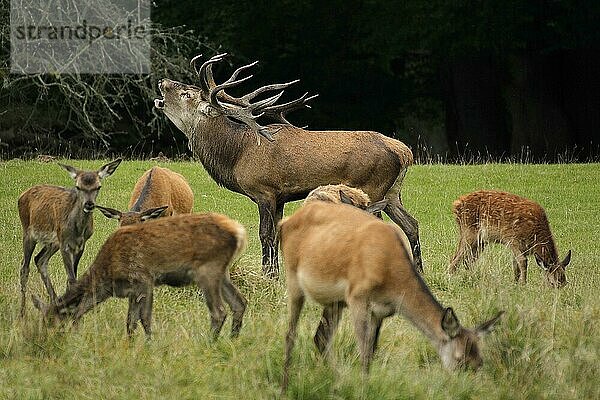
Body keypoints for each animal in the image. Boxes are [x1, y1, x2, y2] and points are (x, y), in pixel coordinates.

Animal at [17, 159, 121, 316]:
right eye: (78, 187)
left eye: (98, 186)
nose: (89, 204)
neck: (77, 230)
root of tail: (22, 195)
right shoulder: (65, 244)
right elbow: (71, 279)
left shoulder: (81, 244)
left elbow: (74, 278)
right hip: (29, 232)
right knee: (24, 268)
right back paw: (22, 312)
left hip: (53, 242)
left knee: (40, 259)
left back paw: (54, 301)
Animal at [32, 211, 248, 340]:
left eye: (51, 322)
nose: (43, 341)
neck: (107, 276)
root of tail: (239, 232)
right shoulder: (132, 290)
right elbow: (130, 321)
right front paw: (129, 344)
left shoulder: (144, 279)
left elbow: (144, 317)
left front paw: (150, 344)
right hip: (222, 272)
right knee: (239, 303)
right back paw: (232, 341)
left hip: (207, 269)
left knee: (219, 311)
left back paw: (209, 344)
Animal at [152, 52, 420, 278]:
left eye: (187, 94)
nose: (163, 81)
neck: (236, 155)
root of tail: (405, 152)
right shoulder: (280, 197)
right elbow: (277, 234)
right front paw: (276, 274)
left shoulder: (264, 190)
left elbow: (265, 234)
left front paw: (268, 275)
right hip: (392, 193)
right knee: (411, 224)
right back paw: (418, 270)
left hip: (371, 187)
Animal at [278, 202, 502, 390]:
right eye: (459, 360)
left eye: (479, 361)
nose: (466, 388)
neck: (390, 274)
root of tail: (285, 221)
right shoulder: (357, 296)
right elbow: (363, 351)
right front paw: (362, 390)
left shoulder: (382, 311)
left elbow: (372, 350)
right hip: (293, 278)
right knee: (291, 334)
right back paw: (285, 387)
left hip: (335, 302)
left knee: (321, 337)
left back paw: (335, 380)